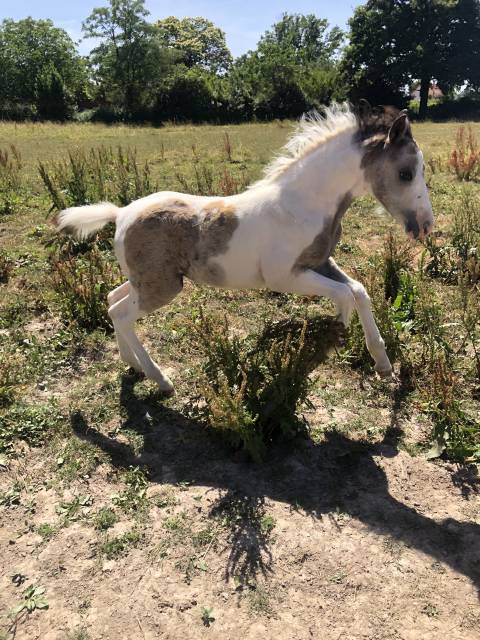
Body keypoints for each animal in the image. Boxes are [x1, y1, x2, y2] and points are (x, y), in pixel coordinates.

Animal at [57, 101, 434, 394]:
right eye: (405, 173)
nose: (425, 225)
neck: (302, 204)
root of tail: (121, 213)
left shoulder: (321, 262)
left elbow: (359, 291)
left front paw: (383, 363)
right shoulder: (286, 277)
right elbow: (344, 297)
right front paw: (330, 339)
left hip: (145, 280)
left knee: (111, 301)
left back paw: (131, 363)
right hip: (160, 287)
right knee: (121, 314)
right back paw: (160, 380)